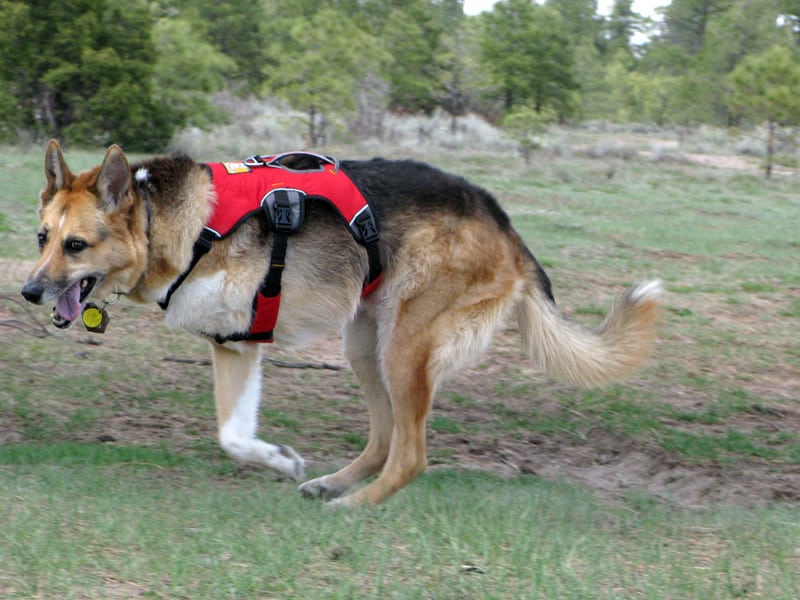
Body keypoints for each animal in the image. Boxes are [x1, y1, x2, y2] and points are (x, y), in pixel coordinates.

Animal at [20, 141, 664, 506]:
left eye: (76, 246)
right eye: (42, 238)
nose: (28, 292)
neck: (172, 222)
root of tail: (503, 223)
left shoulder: (240, 342)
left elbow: (234, 436)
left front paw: (283, 461)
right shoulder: (236, 345)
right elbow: (234, 436)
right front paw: (282, 460)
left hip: (403, 348)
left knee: (409, 456)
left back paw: (350, 508)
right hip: (366, 344)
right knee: (383, 440)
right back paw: (333, 485)